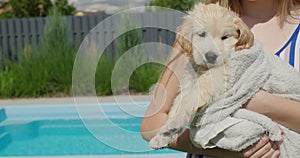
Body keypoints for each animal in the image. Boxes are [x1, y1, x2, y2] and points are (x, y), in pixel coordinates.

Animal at [149, 2, 254, 148]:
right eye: (202, 34)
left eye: (225, 37)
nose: (211, 56)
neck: (202, 68)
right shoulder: (188, 81)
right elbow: (177, 103)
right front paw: (162, 136)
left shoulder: (217, 77)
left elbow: (189, 100)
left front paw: (174, 124)